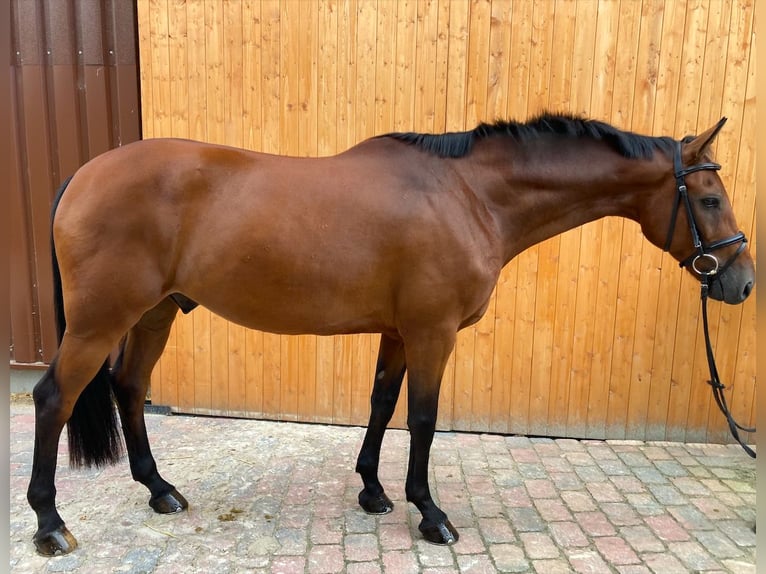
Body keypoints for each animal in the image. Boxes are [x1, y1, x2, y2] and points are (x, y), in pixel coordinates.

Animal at [27, 110, 752, 556]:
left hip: (153, 313)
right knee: (54, 399)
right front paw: (430, 514)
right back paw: (50, 524)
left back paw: (160, 491)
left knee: (129, 387)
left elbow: (380, 404)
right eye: (711, 199)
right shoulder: (433, 332)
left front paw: (373, 492)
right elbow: (424, 418)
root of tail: (82, 175)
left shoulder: (400, 332)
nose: (741, 283)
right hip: (100, 320)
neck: (470, 195)